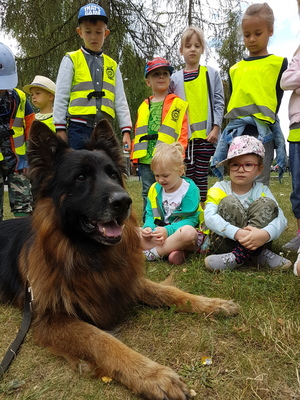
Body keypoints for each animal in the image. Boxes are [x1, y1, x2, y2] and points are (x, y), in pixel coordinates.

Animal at [0, 121, 239, 400]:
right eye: (81, 177)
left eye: (113, 175)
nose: (124, 202)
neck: (89, 257)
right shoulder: (51, 319)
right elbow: (100, 340)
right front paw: (152, 375)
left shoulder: (125, 281)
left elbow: (172, 293)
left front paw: (215, 304)